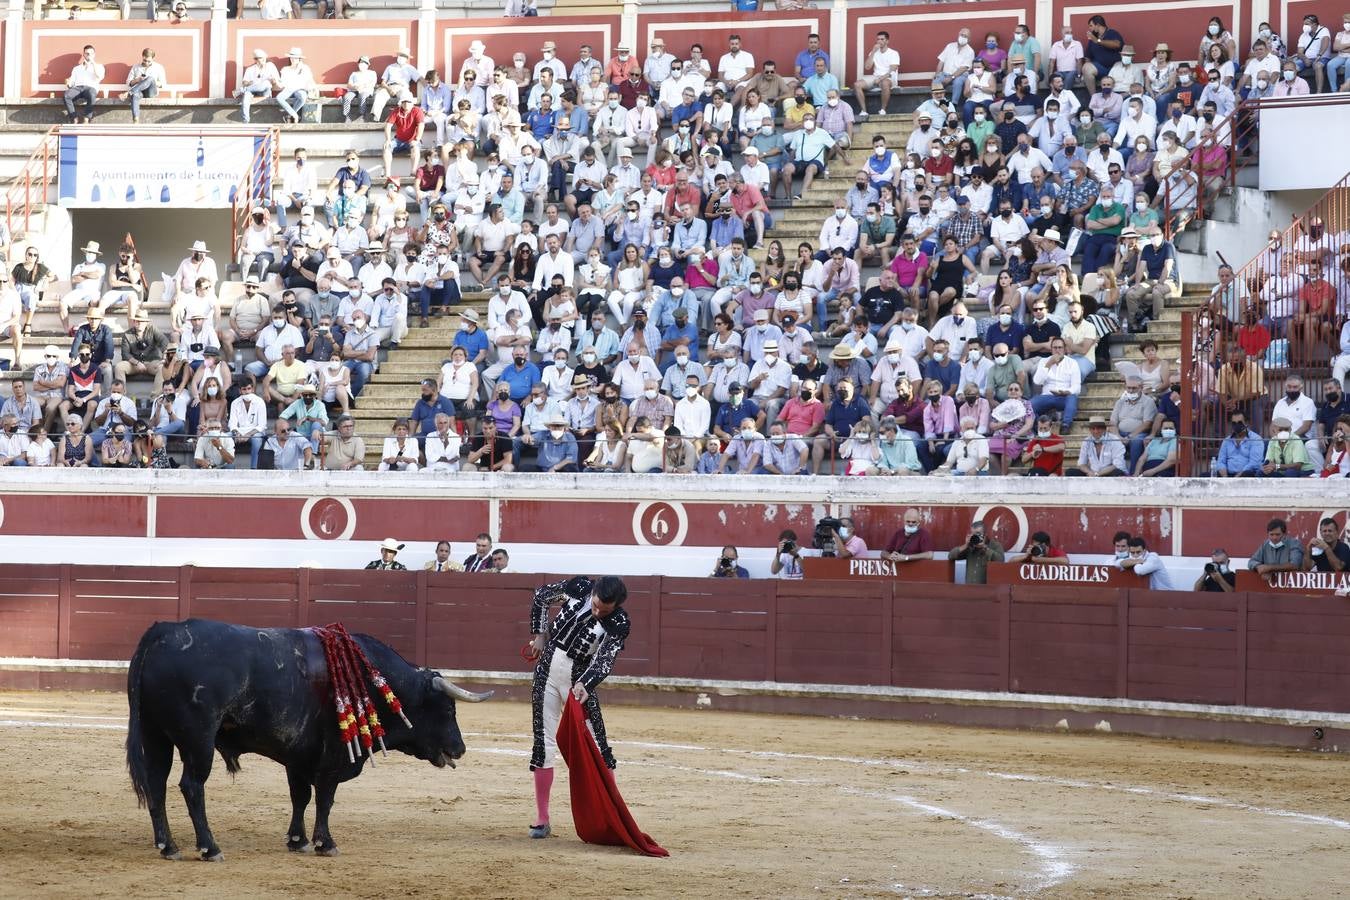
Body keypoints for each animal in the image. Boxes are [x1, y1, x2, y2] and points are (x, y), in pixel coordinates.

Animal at [126, 620, 491, 858]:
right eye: (447, 708)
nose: (460, 748)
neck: (372, 678)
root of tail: (163, 632)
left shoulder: (297, 755)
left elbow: (299, 797)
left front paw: (297, 841)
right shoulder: (333, 756)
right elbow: (325, 799)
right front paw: (325, 843)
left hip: (155, 735)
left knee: (156, 784)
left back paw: (168, 846)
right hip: (198, 740)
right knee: (191, 786)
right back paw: (209, 847)